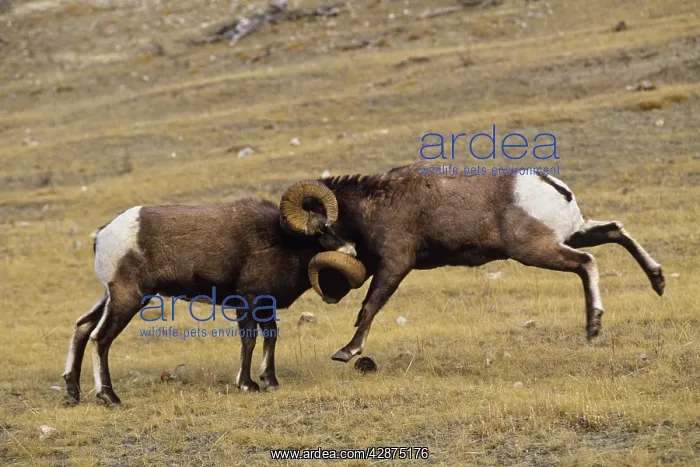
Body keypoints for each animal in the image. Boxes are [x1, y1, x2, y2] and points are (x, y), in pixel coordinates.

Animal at [63, 189, 366, 406]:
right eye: (323, 228)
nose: (352, 251)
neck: (281, 241)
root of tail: (103, 235)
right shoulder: (248, 303)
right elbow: (250, 340)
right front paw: (248, 385)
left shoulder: (264, 307)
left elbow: (270, 338)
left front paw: (271, 382)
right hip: (129, 298)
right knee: (100, 338)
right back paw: (110, 398)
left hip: (110, 297)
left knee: (83, 327)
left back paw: (73, 392)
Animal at [280, 162, 666, 363]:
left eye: (318, 233)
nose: (331, 294)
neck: (375, 204)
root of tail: (553, 187)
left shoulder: (395, 263)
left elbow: (370, 306)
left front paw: (347, 352)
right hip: (572, 233)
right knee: (615, 231)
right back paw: (658, 281)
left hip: (537, 249)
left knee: (586, 262)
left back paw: (593, 327)